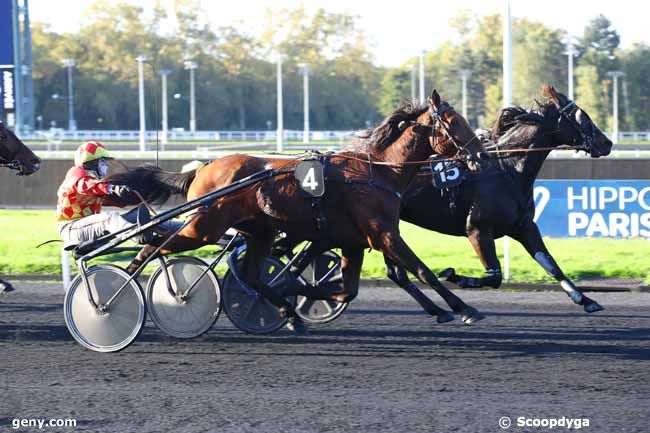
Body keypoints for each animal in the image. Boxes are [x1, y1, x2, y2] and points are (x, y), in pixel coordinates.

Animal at [110, 88, 486, 330]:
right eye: (455, 122)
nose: (480, 156)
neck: (377, 171)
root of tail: (202, 168)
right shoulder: (383, 234)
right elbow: (423, 270)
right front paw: (464, 308)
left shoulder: (353, 241)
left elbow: (346, 288)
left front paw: (291, 293)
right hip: (202, 227)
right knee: (150, 246)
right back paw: (120, 288)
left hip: (258, 231)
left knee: (250, 275)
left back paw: (286, 311)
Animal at [382, 84, 612, 312]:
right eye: (581, 115)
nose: (607, 143)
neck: (508, 169)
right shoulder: (478, 229)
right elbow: (495, 277)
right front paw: (455, 276)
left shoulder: (524, 226)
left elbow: (551, 264)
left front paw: (585, 299)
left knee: (396, 274)